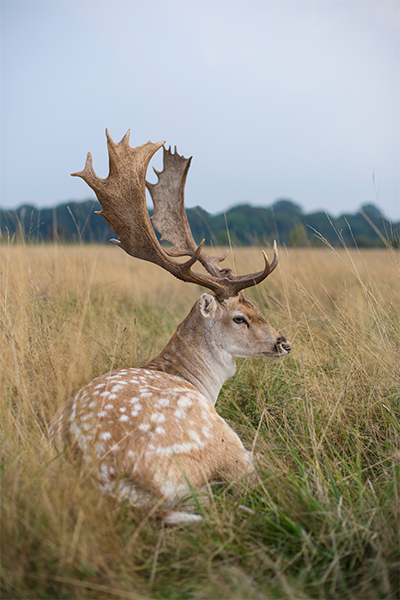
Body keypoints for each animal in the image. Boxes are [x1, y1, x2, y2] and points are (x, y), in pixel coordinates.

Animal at [47, 131, 290, 524]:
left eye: (255, 306)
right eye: (240, 317)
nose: (283, 343)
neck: (193, 378)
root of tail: (103, 478)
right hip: (215, 438)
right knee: (248, 475)